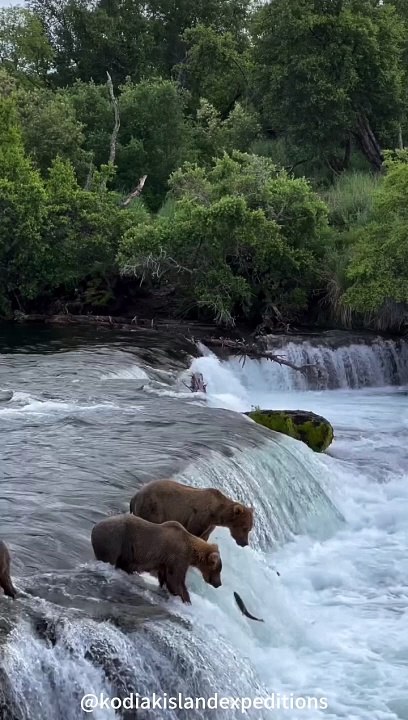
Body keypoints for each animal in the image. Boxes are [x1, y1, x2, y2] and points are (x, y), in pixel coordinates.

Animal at [90, 514, 222, 604]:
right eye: (218, 570)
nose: (219, 584)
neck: (191, 550)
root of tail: (94, 527)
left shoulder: (165, 561)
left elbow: (165, 577)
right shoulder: (178, 556)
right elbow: (175, 580)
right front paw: (186, 599)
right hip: (114, 542)